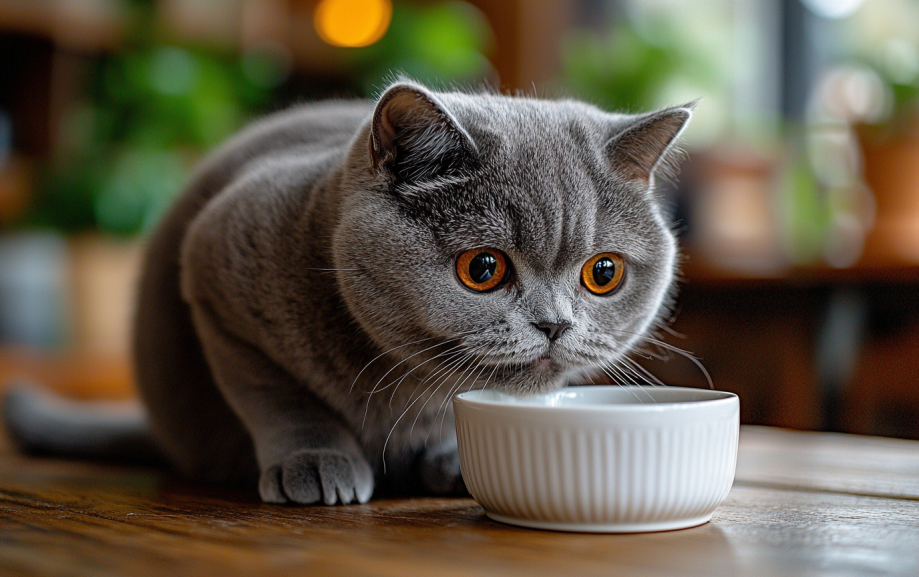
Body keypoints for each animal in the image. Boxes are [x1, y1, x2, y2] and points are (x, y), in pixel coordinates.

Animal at [1, 80, 688, 504]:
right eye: (484, 268)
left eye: (603, 273)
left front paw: (452, 459)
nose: (554, 324)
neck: (410, 392)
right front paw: (315, 461)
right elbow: (276, 393)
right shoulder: (214, 268)